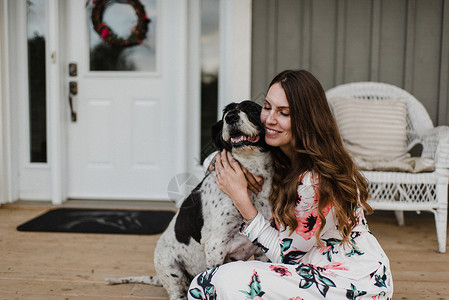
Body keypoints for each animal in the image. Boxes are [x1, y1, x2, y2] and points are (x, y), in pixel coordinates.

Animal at [105, 101, 272, 300]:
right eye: (226, 112)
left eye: (252, 109)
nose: (230, 117)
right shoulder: (215, 247)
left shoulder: (262, 251)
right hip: (171, 267)